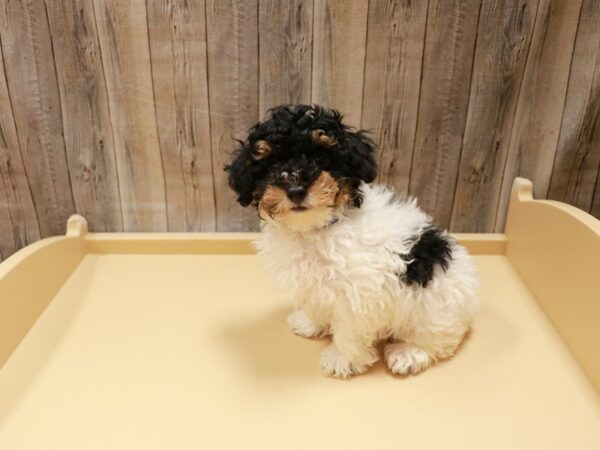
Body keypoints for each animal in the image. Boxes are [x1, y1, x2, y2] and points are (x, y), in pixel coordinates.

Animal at [224, 104, 478, 376]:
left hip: (435, 309)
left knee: (437, 339)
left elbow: (349, 329)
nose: (296, 190)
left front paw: (342, 359)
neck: (316, 229)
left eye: (321, 159)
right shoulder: (316, 283)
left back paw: (409, 353)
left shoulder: (359, 292)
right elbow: (317, 303)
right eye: (272, 164)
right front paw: (309, 322)